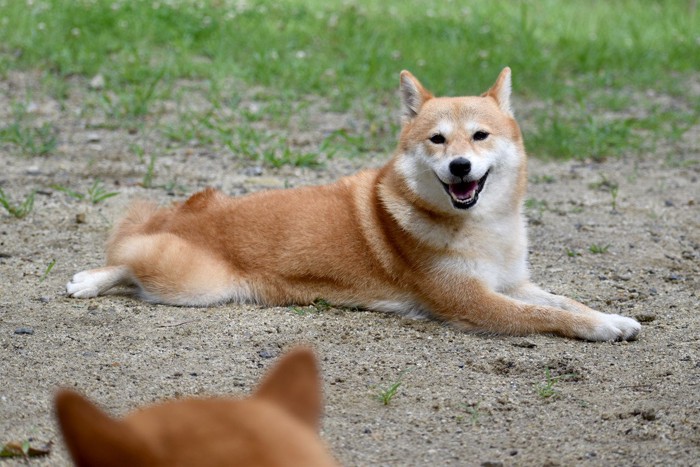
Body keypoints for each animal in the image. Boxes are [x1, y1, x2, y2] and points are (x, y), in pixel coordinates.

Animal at [67, 67, 640, 342]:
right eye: (437, 139)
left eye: (479, 136)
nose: (460, 167)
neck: (483, 227)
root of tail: (185, 211)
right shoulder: (473, 301)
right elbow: (546, 316)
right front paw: (601, 328)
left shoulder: (511, 283)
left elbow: (563, 301)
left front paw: (613, 316)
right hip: (193, 285)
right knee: (129, 263)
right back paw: (90, 280)